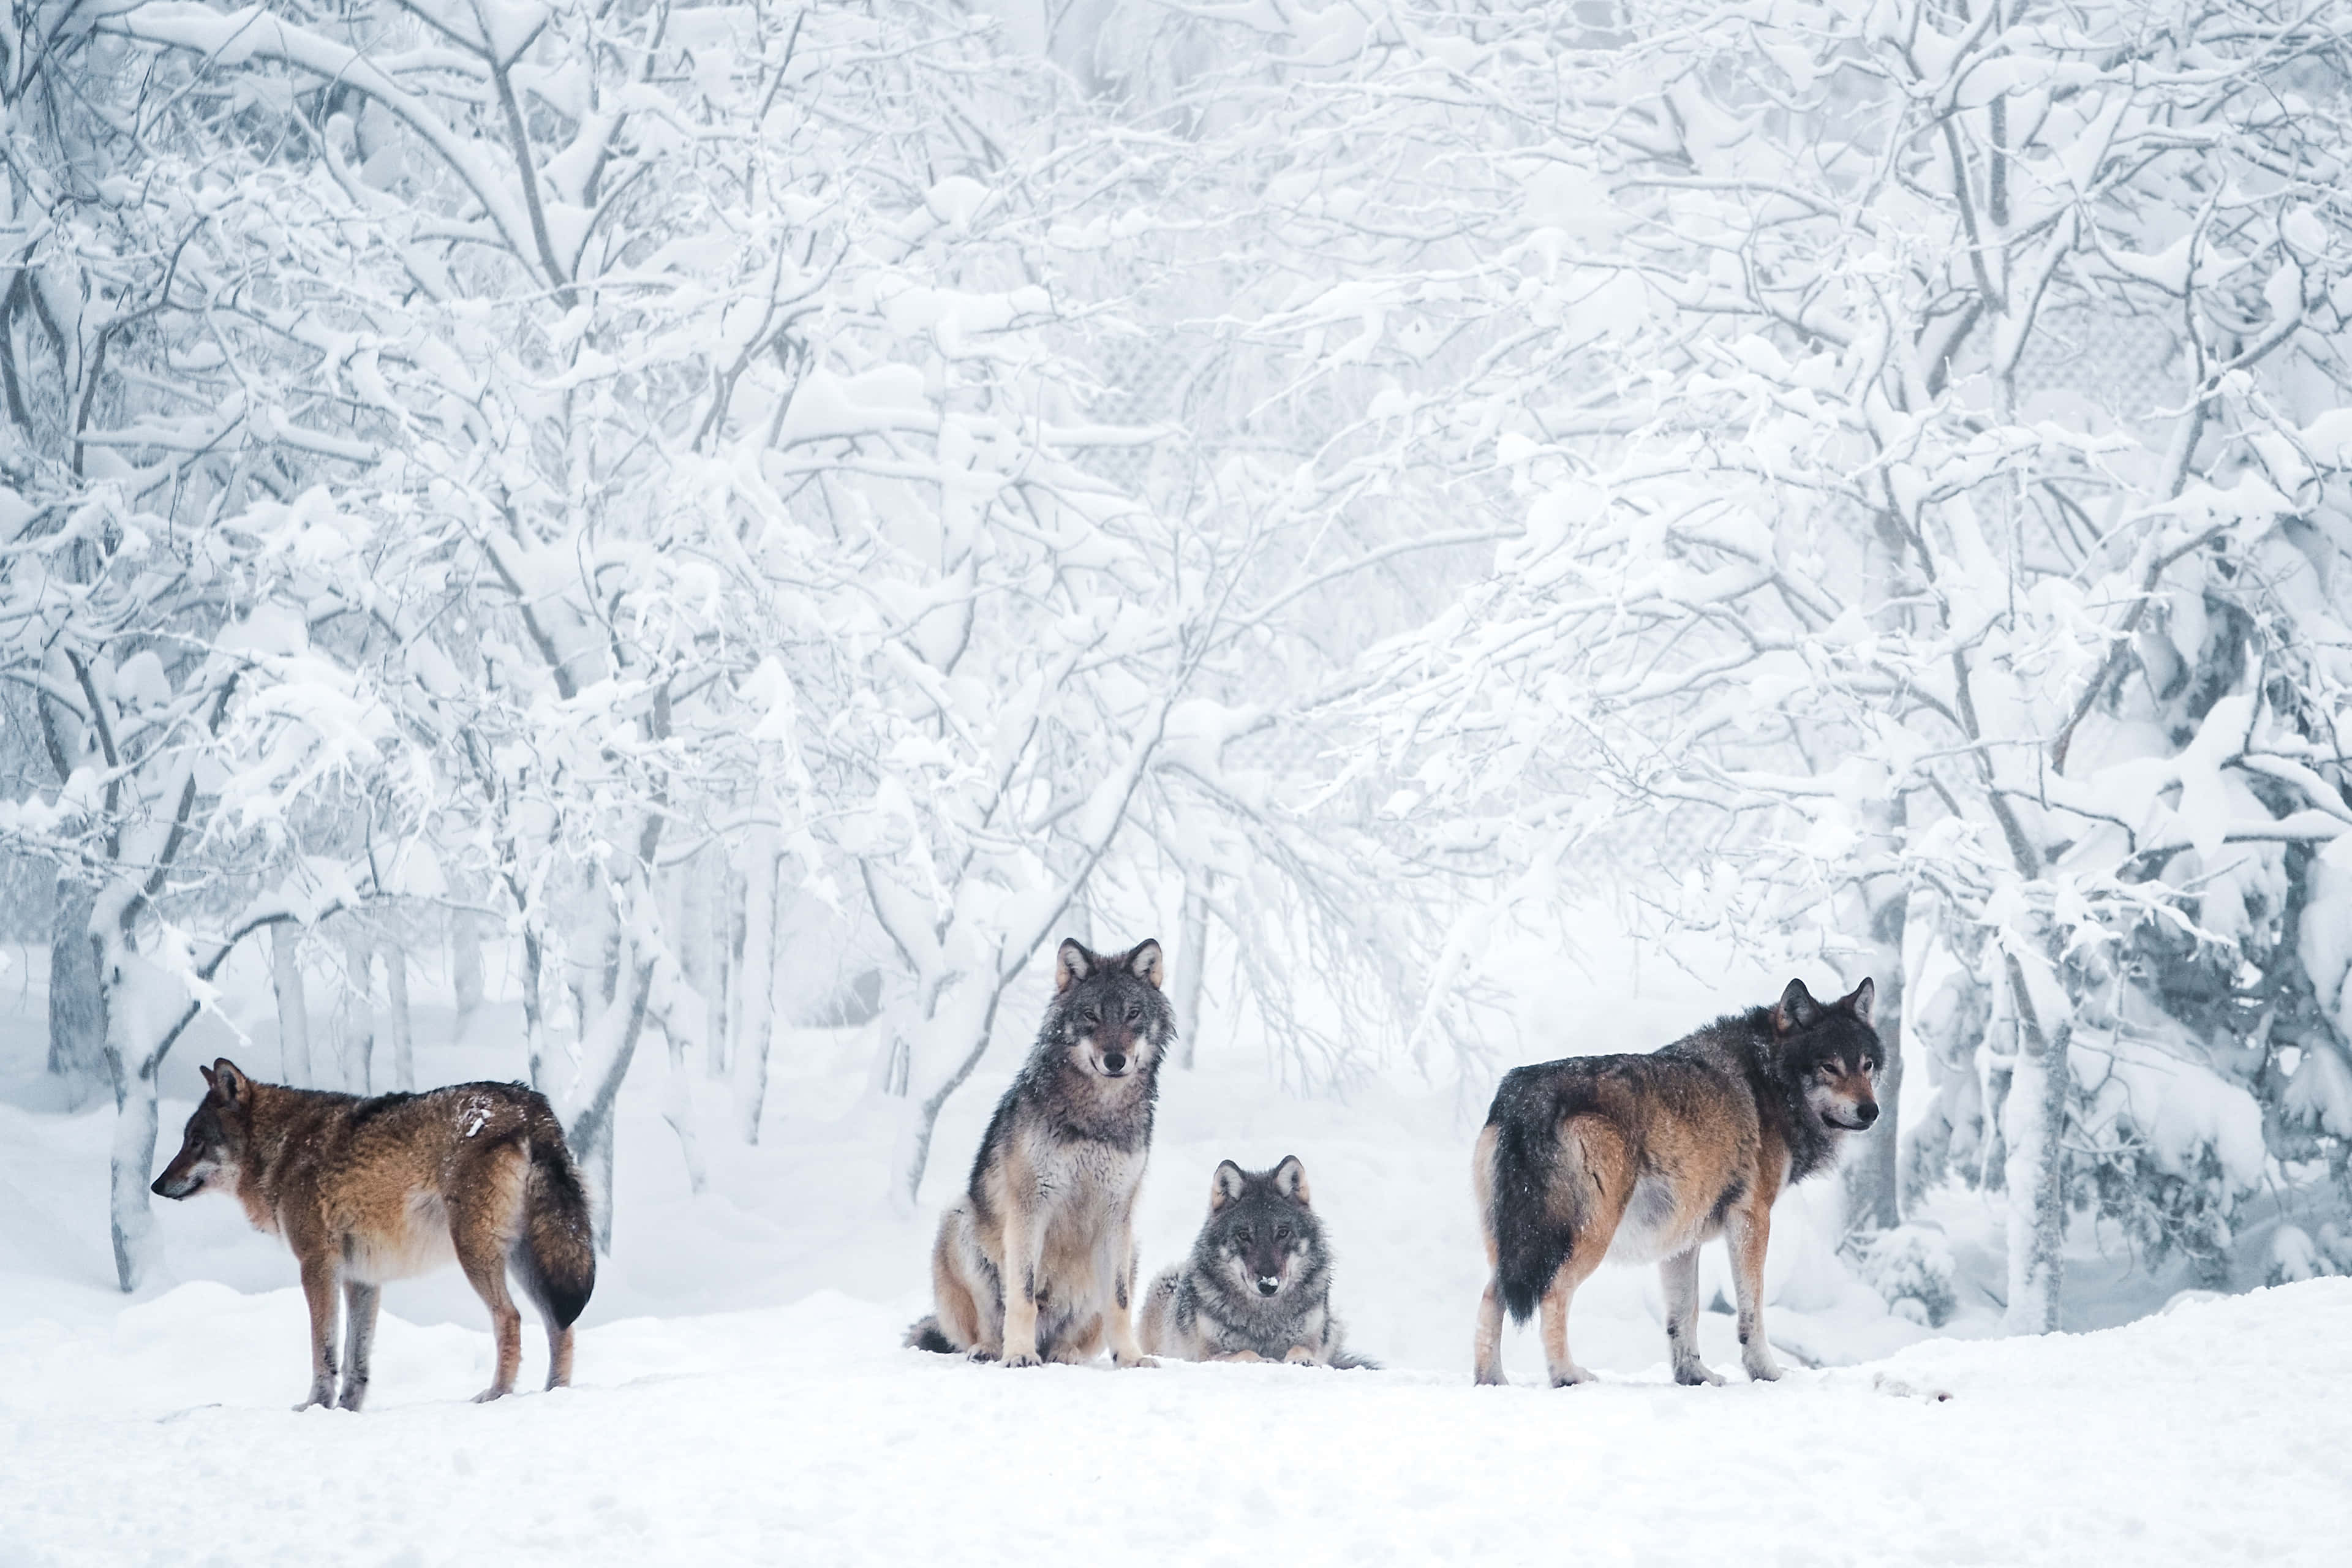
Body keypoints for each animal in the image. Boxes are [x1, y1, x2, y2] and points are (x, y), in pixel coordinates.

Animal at [151, 1058, 595, 1410]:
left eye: (196, 1142)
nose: (156, 1185)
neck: (282, 1149)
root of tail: (531, 1108)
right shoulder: (361, 1278)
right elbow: (355, 1359)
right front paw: (348, 1410)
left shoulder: (316, 1266)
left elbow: (324, 1350)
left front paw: (316, 1406)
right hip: (528, 1258)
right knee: (561, 1324)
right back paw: (555, 1394)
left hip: (477, 1253)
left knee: (511, 1319)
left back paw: (497, 1395)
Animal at [905, 937, 1171, 1368]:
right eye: (1091, 1016)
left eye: (1132, 1014)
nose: (1115, 1061)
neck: (1097, 1115)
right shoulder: (1031, 1204)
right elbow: (1023, 1296)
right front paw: (1018, 1353)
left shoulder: (1117, 1212)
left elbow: (1119, 1302)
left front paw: (1131, 1358)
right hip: (959, 1221)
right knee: (987, 1324)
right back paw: (992, 1350)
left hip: (1130, 1251)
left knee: (1070, 1334)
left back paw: (1064, 1353)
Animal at [1139, 1156, 1376, 1368]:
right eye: (1244, 1235)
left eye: (1282, 1233)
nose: (1268, 1285)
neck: (1264, 1318)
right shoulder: (1209, 1355)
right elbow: (1246, 1352)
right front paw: (1264, 1360)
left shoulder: (1311, 1339)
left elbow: (1301, 1348)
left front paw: (1303, 1359)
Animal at [1472, 977, 1881, 1388]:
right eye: (1829, 1067)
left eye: (1867, 1065)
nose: (1871, 1111)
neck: (1769, 1081)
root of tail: (1528, 1098)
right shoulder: (1753, 1218)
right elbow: (1752, 1311)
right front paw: (1766, 1373)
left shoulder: (1681, 1238)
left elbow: (1684, 1315)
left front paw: (1694, 1375)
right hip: (1584, 1238)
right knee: (1552, 1295)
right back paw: (1568, 1376)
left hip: (1514, 1244)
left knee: (1491, 1298)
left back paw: (1492, 1381)